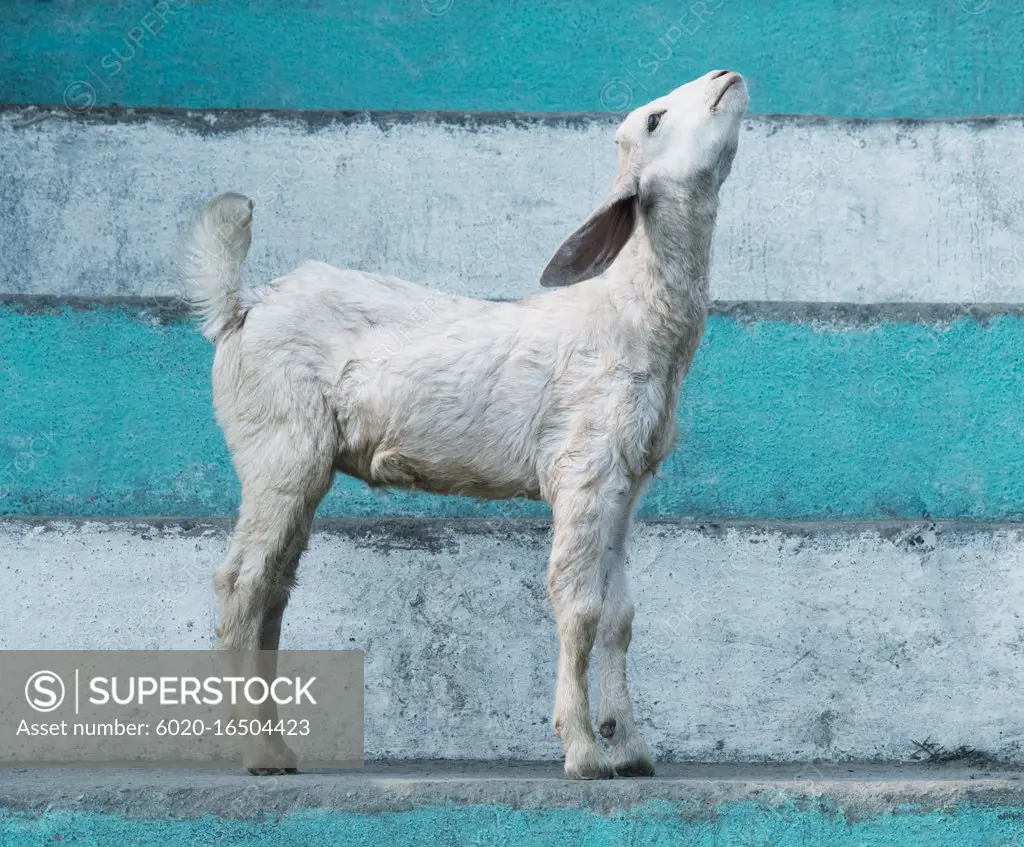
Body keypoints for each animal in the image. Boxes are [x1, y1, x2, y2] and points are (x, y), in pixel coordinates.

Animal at [180, 69, 749, 778]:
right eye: (654, 120)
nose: (727, 76)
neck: (632, 316)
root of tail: (240, 307)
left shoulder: (626, 481)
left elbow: (620, 615)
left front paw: (633, 749)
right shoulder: (583, 468)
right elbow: (580, 607)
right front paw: (584, 751)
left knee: (276, 586)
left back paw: (277, 741)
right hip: (279, 441)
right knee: (242, 580)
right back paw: (258, 750)